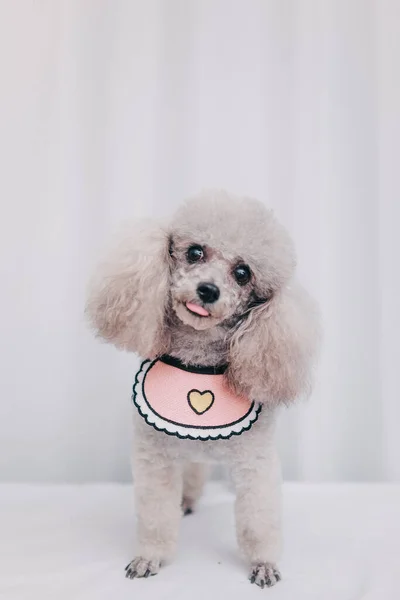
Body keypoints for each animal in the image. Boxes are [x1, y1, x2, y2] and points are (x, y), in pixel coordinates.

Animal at [86, 190, 320, 588]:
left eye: (243, 273)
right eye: (195, 252)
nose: (207, 290)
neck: (197, 362)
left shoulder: (255, 461)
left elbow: (259, 519)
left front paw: (263, 564)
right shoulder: (155, 457)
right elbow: (156, 515)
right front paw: (149, 558)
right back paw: (187, 500)